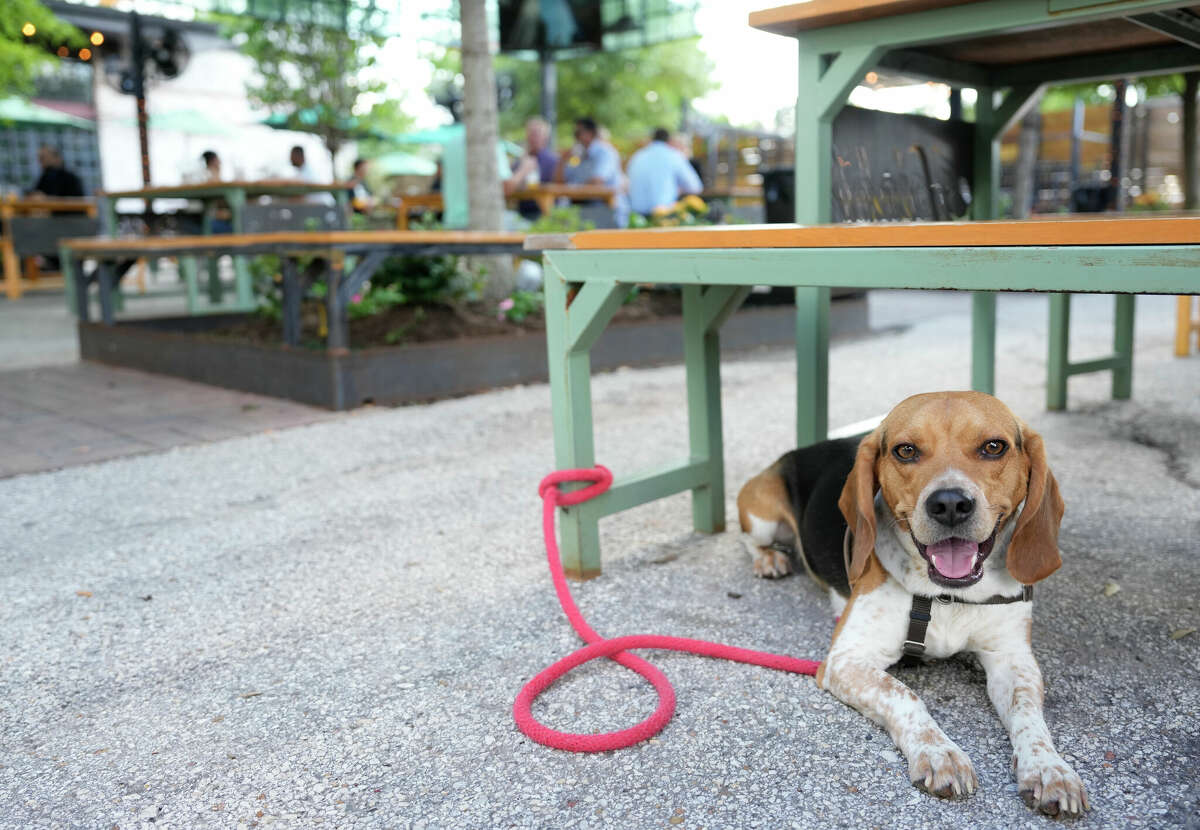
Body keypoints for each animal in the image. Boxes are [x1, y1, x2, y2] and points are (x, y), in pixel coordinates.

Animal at [734, 391, 1094, 815]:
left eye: (993, 447)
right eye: (906, 450)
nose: (950, 504)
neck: (948, 595)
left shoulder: (1012, 658)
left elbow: (1029, 714)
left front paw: (1049, 768)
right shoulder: (844, 661)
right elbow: (904, 694)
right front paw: (939, 753)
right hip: (761, 517)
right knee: (751, 539)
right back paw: (769, 559)